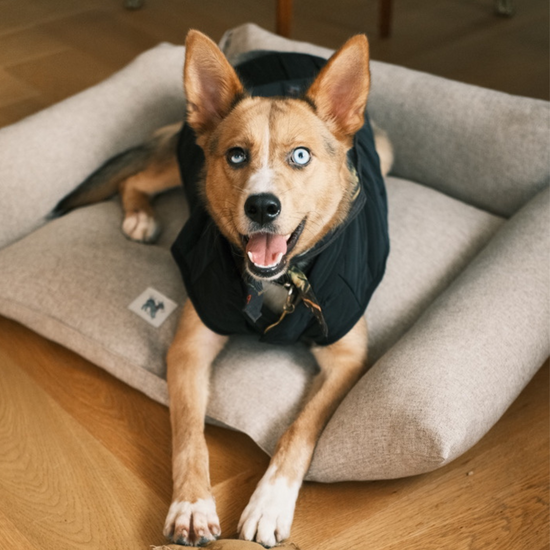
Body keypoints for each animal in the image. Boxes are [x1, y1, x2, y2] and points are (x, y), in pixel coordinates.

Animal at [52, 31, 392, 550]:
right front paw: (192, 506)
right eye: (235, 155)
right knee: (135, 179)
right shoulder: (189, 348)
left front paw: (269, 504)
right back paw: (140, 216)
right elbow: (189, 435)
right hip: (185, 162)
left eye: (300, 156)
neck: (277, 282)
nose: (262, 207)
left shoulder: (347, 358)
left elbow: (300, 428)